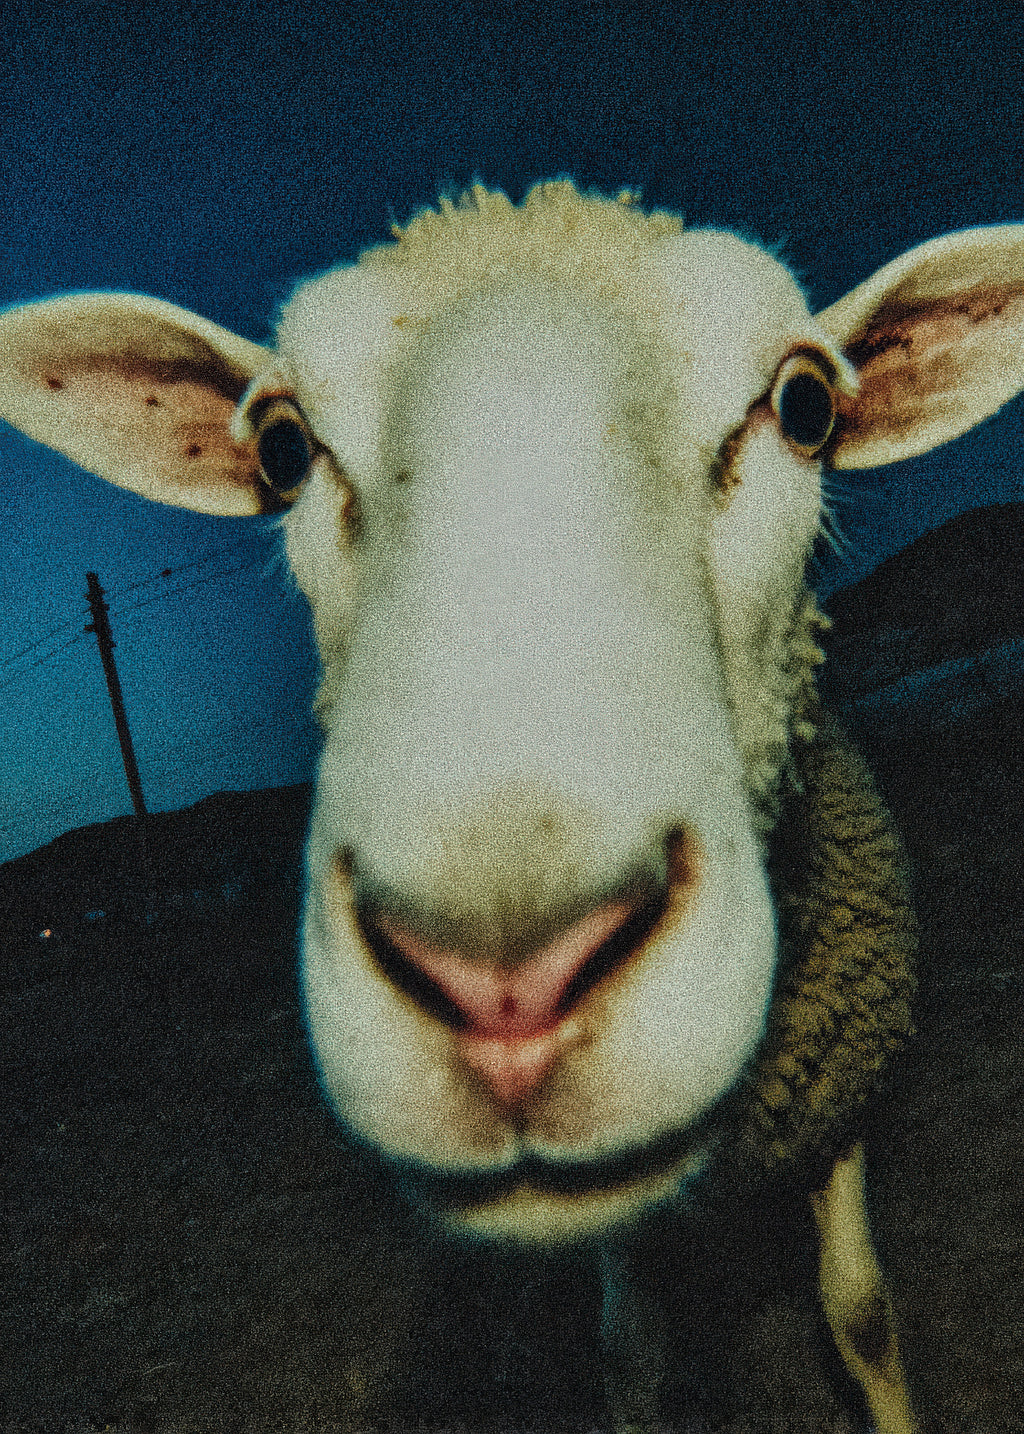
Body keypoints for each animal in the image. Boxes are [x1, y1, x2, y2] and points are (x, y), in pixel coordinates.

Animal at [3, 180, 1024, 1432]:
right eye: (284, 451)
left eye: (805, 405)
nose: (505, 988)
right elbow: (629, 1350)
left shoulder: (843, 1102)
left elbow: (861, 1312)